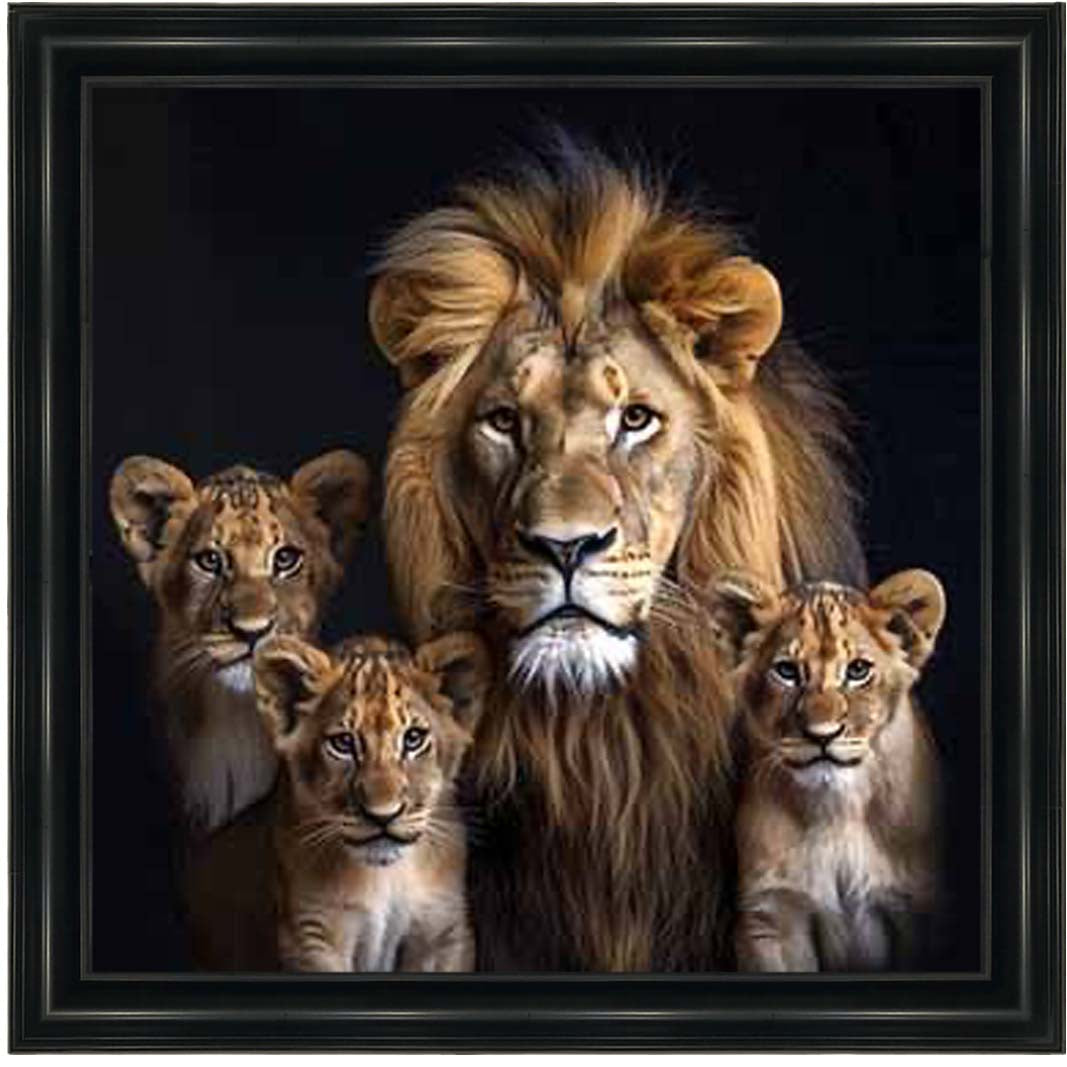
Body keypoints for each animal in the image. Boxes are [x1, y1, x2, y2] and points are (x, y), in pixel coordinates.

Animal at [710, 569, 946, 971]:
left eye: (858, 670)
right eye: (786, 671)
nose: (822, 735)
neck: (837, 808)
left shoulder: (919, 909)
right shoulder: (772, 917)